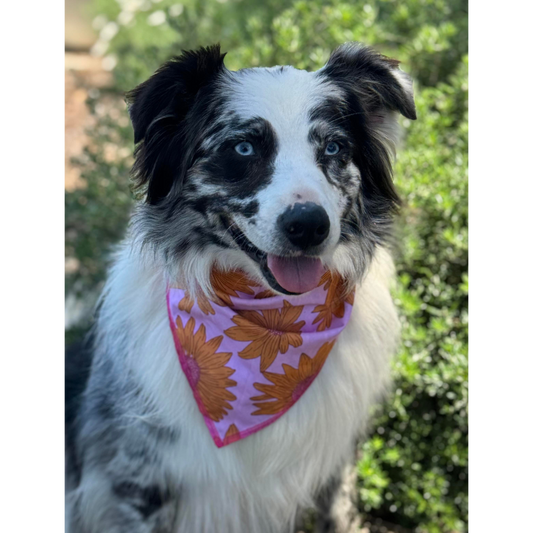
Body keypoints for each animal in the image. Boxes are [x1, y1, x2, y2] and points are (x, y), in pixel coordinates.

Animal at [63, 41, 416, 532]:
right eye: (244, 147)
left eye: (333, 147)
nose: (309, 226)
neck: (267, 322)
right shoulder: (135, 478)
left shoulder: (336, 463)